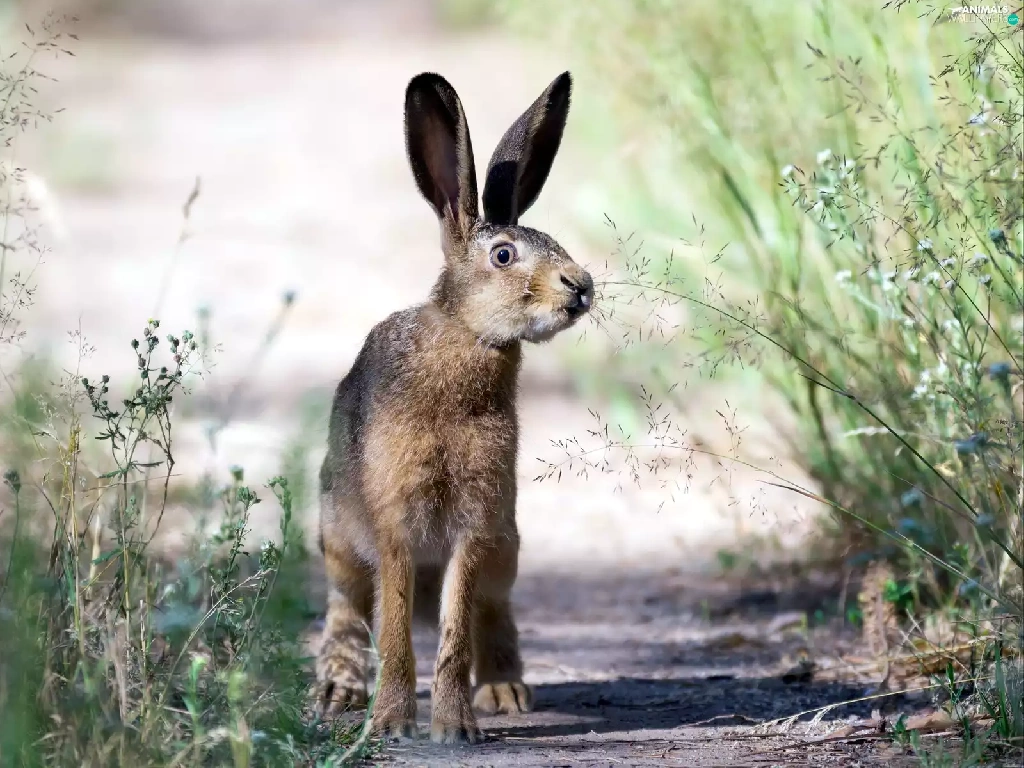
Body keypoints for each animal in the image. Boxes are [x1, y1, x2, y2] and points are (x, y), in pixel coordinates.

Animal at [315, 69, 593, 745]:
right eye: (504, 255)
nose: (582, 287)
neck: (467, 337)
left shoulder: (475, 522)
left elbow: (454, 629)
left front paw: (456, 728)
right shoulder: (393, 521)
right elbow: (393, 629)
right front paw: (392, 722)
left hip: (506, 545)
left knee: (493, 612)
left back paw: (506, 692)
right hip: (338, 538)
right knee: (346, 609)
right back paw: (339, 688)